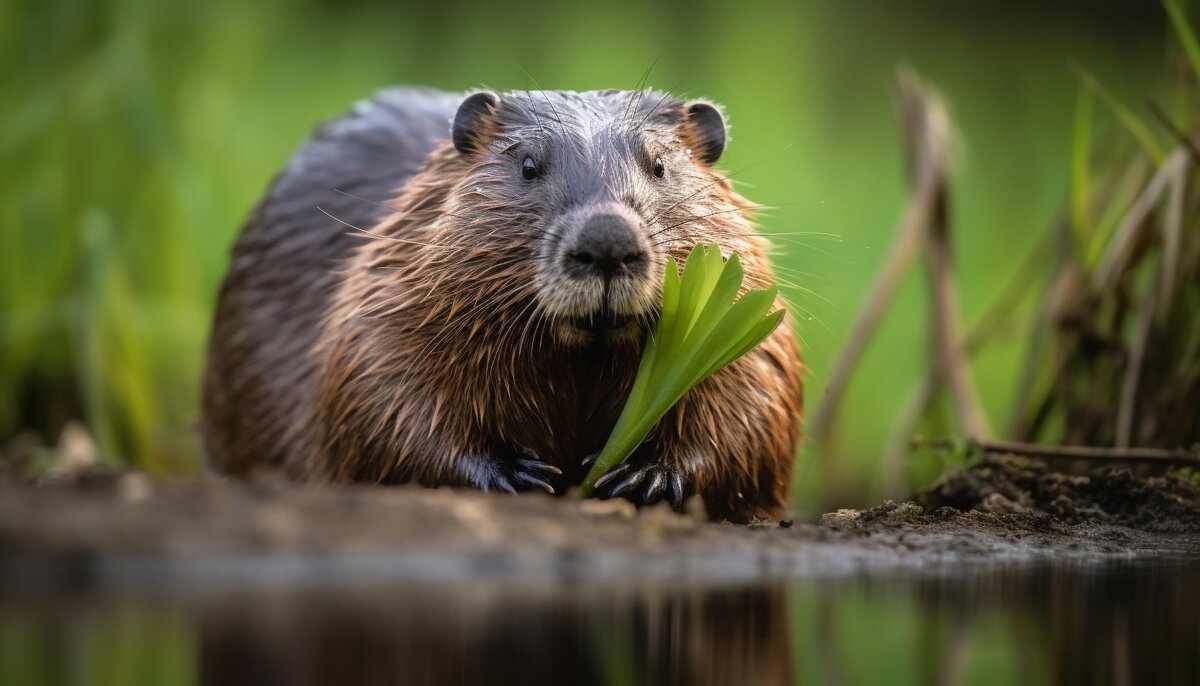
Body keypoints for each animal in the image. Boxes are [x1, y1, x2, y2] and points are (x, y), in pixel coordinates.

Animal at [201, 88, 801, 522]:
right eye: (529, 165)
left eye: (659, 166)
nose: (607, 241)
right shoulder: (385, 288)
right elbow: (380, 394)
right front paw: (518, 474)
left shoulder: (752, 320)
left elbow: (755, 403)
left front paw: (642, 475)